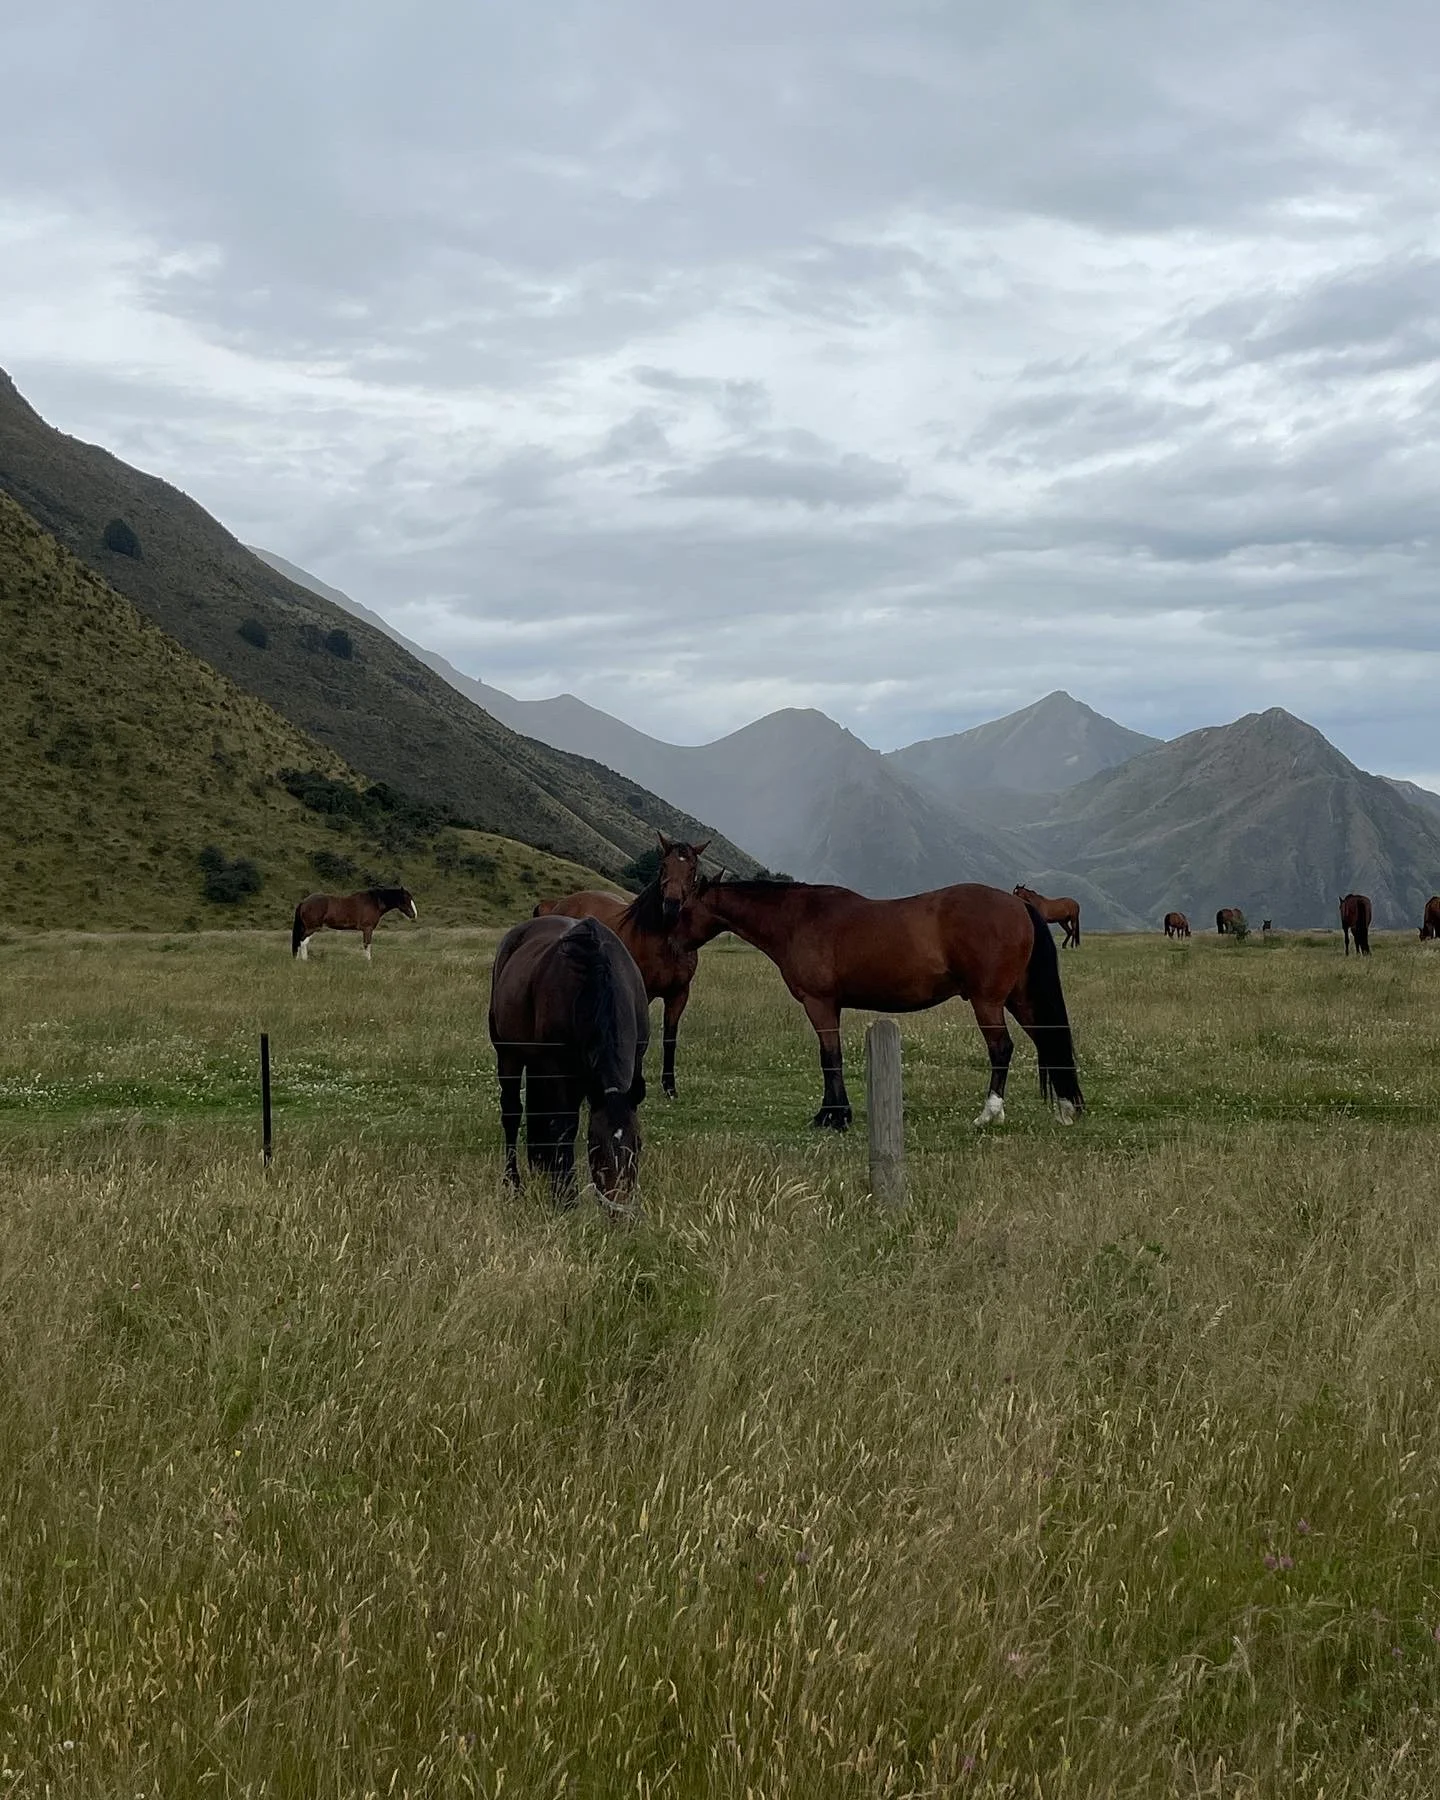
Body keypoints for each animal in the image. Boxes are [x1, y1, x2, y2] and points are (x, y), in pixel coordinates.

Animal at [488, 915, 649, 1213]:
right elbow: (565, 1126)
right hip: (509, 1056)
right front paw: (566, 1195)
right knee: (513, 1113)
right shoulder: (558, 1071)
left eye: (638, 1144)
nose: (620, 1211)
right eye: (595, 1146)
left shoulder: (635, 1061)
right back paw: (513, 1182)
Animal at [534, 834, 710, 1099]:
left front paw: (670, 1087)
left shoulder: (679, 994)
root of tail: (559, 905)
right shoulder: (643, 992)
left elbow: (670, 1039)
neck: (664, 942)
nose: (671, 905)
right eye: (663, 865)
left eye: (692, 869)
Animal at [676, 878, 1083, 1131]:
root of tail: (1018, 905)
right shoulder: (830, 1006)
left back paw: (988, 1113)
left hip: (988, 1002)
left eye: (681, 908)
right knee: (1047, 1040)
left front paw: (833, 1117)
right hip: (1018, 998)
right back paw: (1066, 1108)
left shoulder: (819, 1004)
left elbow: (830, 1057)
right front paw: (833, 1114)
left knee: (1001, 1048)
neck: (797, 919)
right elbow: (832, 1057)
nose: (675, 945)